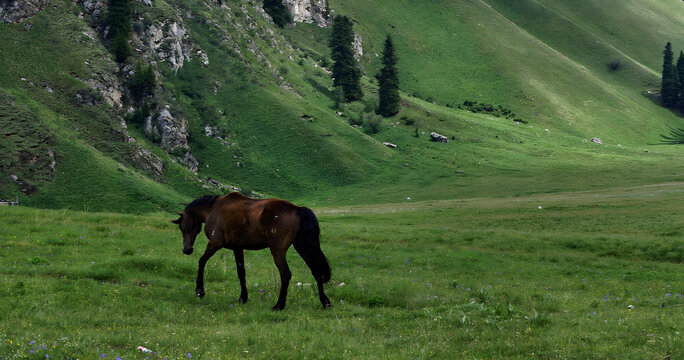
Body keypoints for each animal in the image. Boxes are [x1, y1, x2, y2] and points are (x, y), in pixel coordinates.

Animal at [171, 193, 332, 310]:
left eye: (183, 226)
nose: (187, 249)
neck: (213, 209)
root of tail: (297, 209)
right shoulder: (237, 248)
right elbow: (241, 272)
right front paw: (243, 297)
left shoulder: (215, 243)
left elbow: (201, 261)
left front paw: (200, 290)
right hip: (303, 247)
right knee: (317, 272)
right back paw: (325, 302)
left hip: (278, 251)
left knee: (286, 274)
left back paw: (279, 305)